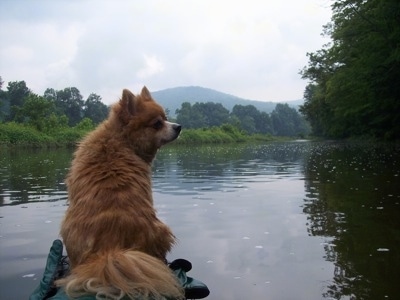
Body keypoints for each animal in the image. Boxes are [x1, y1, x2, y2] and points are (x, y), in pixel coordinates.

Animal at [57, 87, 184, 300]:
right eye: (158, 123)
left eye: (166, 118)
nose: (178, 126)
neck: (121, 139)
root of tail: (110, 251)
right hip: (163, 230)